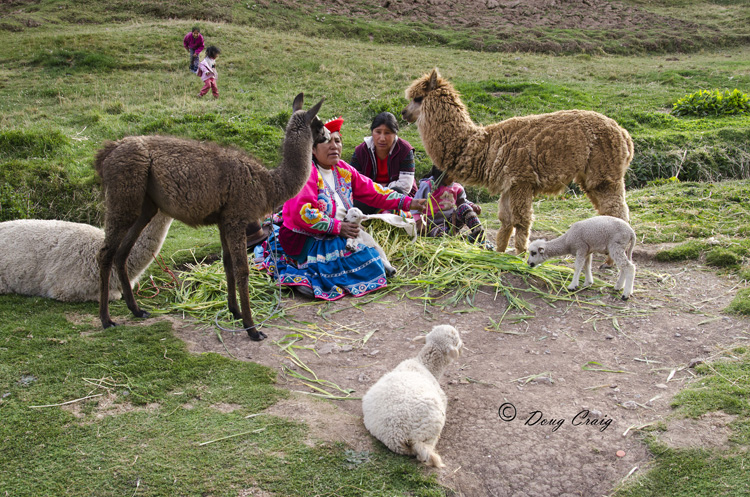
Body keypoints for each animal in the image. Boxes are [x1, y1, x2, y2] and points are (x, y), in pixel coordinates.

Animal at [95, 93, 328, 340]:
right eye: (319, 124)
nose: (328, 136)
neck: (270, 184)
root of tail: (109, 151)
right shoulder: (237, 217)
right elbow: (242, 270)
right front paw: (252, 328)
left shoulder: (224, 221)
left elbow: (227, 264)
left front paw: (235, 312)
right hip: (124, 195)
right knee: (105, 253)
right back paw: (106, 320)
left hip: (144, 205)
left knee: (122, 252)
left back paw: (136, 310)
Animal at [406, 67, 636, 254]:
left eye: (418, 98)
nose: (403, 112)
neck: (484, 145)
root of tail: (624, 134)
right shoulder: (509, 184)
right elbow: (506, 221)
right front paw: (499, 254)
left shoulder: (521, 180)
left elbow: (521, 221)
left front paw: (520, 255)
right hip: (593, 176)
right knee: (607, 210)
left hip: (605, 172)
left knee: (617, 210)